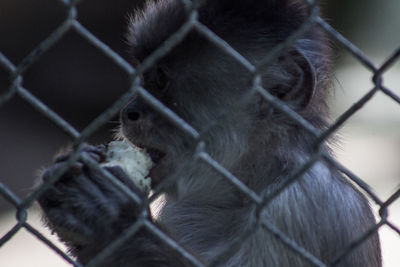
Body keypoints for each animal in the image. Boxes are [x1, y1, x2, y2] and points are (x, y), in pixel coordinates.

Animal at [37, 0, 382, 267]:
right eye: (144, 78)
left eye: (160, 80)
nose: (129, 111)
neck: (245, 189)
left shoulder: (303, 204)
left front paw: (114, 222)